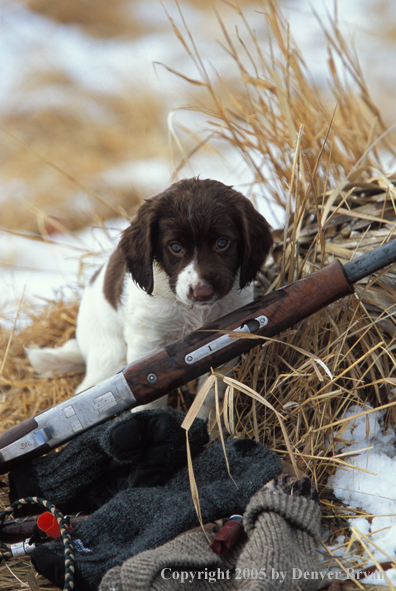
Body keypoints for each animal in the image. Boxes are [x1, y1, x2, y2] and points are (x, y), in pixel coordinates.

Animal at [27, 178, 274, 418]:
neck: (194, 310)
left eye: (222, 243)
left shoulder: (229, 335)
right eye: (175, 247)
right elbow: (150, 397)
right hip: (110, 355)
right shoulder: (147, 344)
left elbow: (211, 394)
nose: (202, 293)